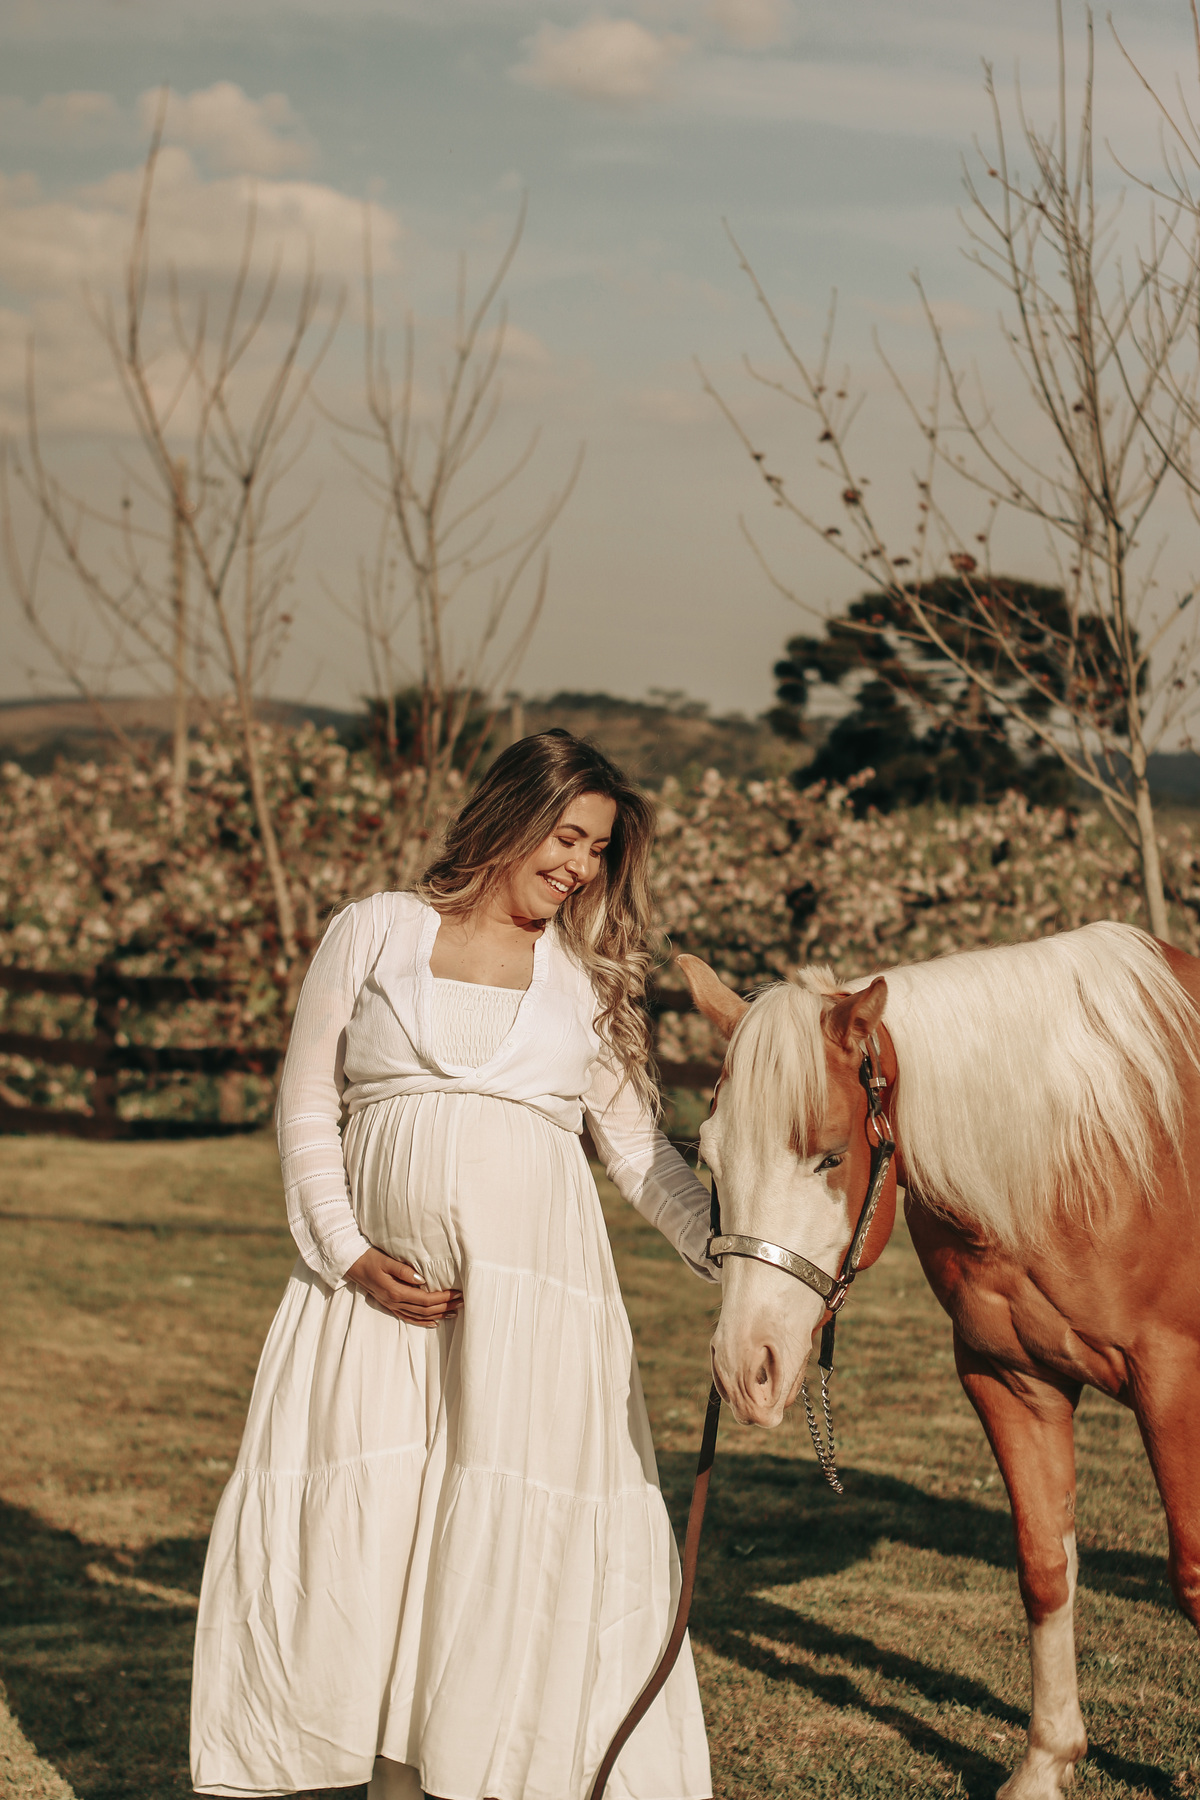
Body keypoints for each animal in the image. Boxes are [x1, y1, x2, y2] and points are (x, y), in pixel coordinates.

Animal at [675, 920, 1200, 1800]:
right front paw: (1046, 1763)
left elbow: (1192, 1572)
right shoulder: (1011, 1382)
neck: (1107, 1154)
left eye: (829, 1156)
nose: (746, 1368)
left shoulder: (1175, 1390)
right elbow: (1044, 1567)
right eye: (708, 1158)